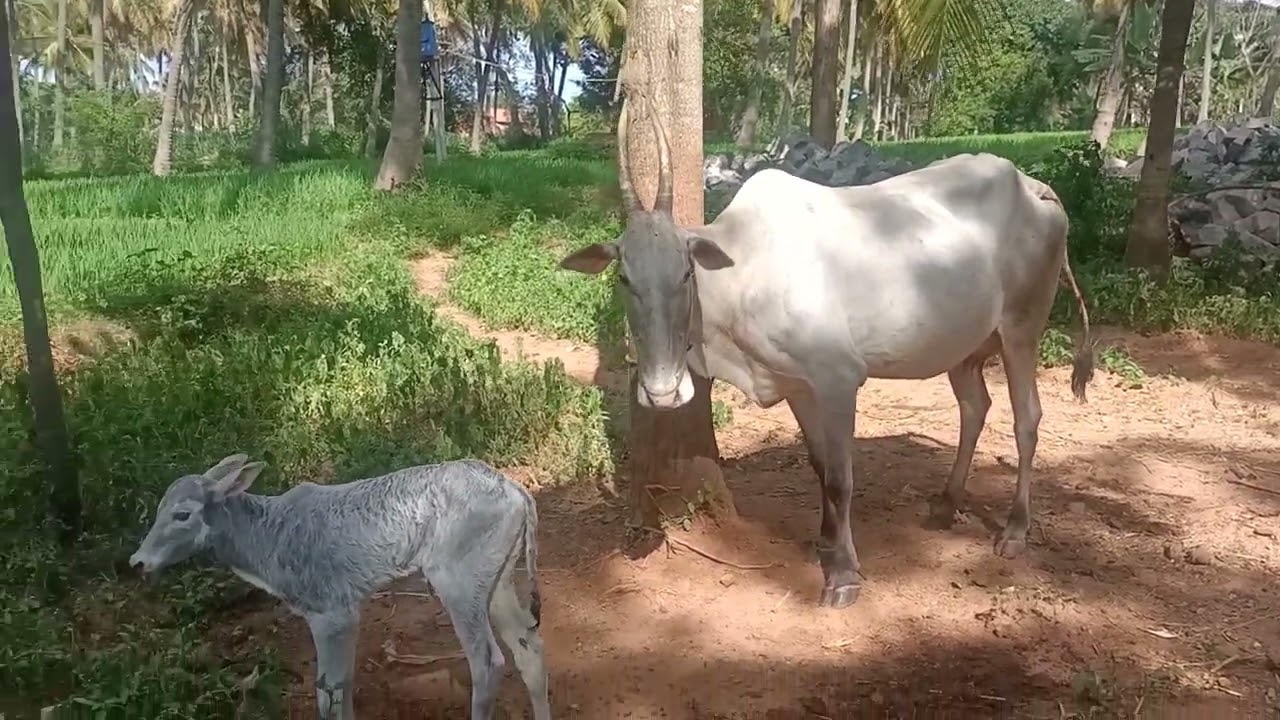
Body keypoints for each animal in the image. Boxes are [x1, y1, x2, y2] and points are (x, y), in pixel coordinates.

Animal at [558, 91, 1094, 611]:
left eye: (686, 272)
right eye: (624, 278)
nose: (662, 392)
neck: (741, 271)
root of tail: (1034, 186)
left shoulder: (838, 379)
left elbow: (840, 477)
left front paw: (843, 575)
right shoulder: (797, 385)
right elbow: (818, 466)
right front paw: (824, 544)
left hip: (1022, 329)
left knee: (1027, 418)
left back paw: (1015, 529)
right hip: (965, 347)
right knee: (974, 407)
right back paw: (946, 503)